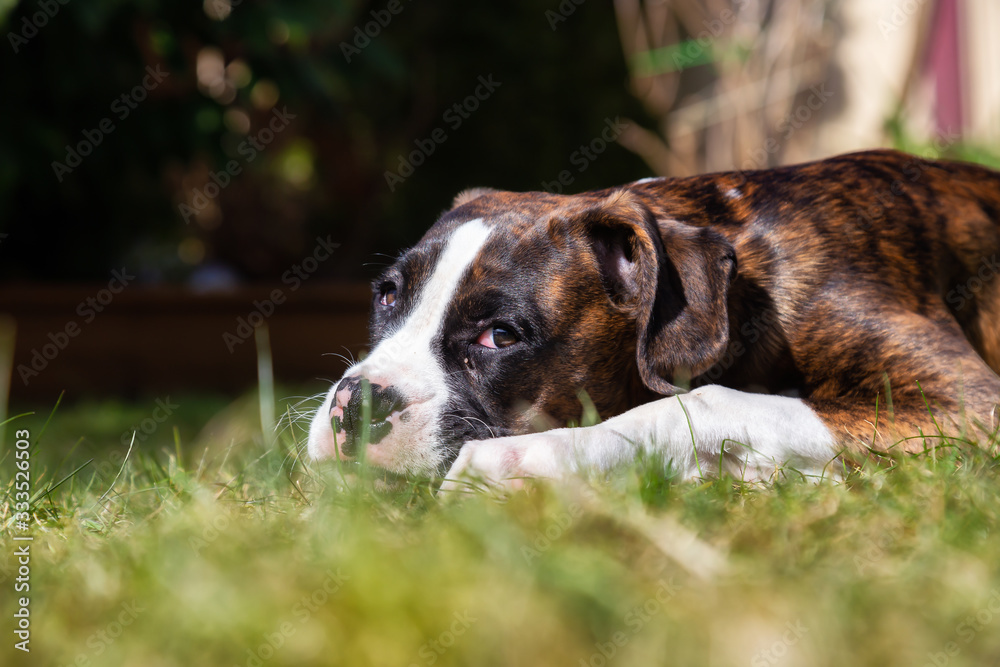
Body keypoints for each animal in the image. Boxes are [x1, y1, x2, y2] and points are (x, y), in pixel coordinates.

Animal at [306, 149, 1000, 488]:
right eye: (387, 296)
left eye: (499, 336)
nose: (356, 402)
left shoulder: (967, 404)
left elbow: (709, 400)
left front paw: (533, 458)